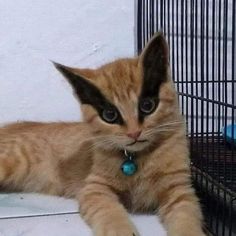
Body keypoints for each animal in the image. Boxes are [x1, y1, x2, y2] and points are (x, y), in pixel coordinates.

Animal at [0, 33, 206, 236]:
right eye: (109, 115)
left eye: (147, 105)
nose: (134, 132)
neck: (137, 158)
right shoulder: (94, 188)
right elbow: (110, 213)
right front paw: (121, 231)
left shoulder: (180, 190)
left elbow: (187, 220)